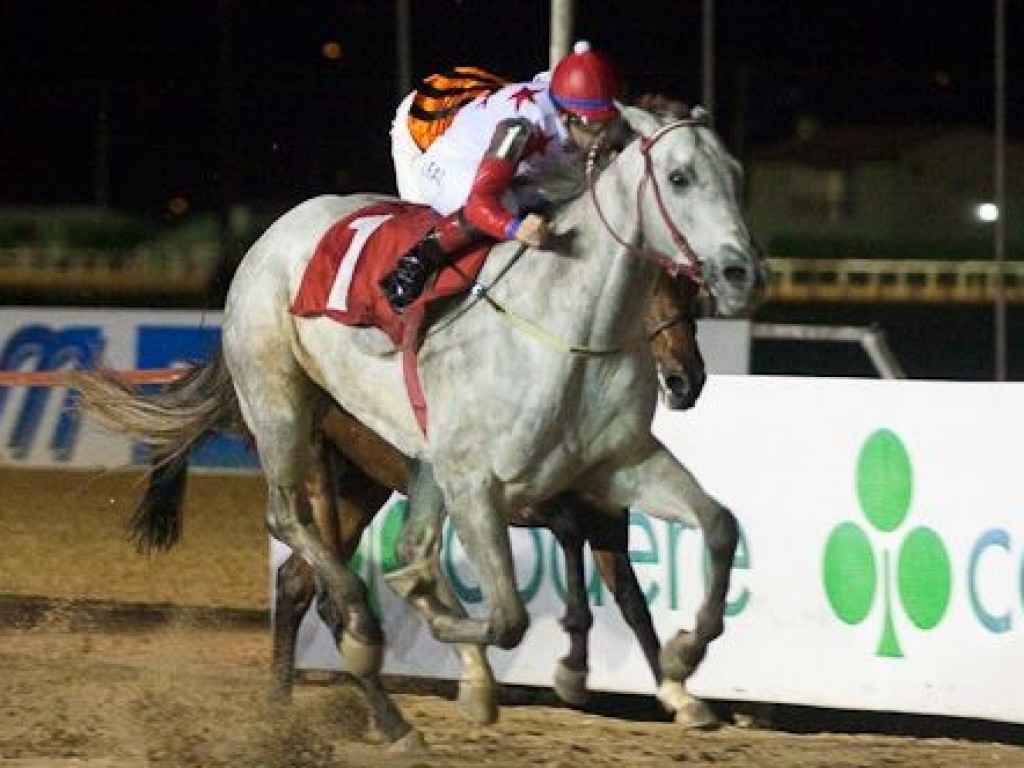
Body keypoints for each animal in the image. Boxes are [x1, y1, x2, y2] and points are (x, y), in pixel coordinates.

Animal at [125, 272, 704, 729]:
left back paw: (283, 705)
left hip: (360, 489)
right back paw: (378, 715)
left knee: (295, 584)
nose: (687, 380)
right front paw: (574, 664)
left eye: (692, 288)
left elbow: (633, 603)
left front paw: (678, 696)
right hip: (313, 473)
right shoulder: (514, 503)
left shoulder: (610, 525)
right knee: (330, 596)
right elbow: (568, 532)